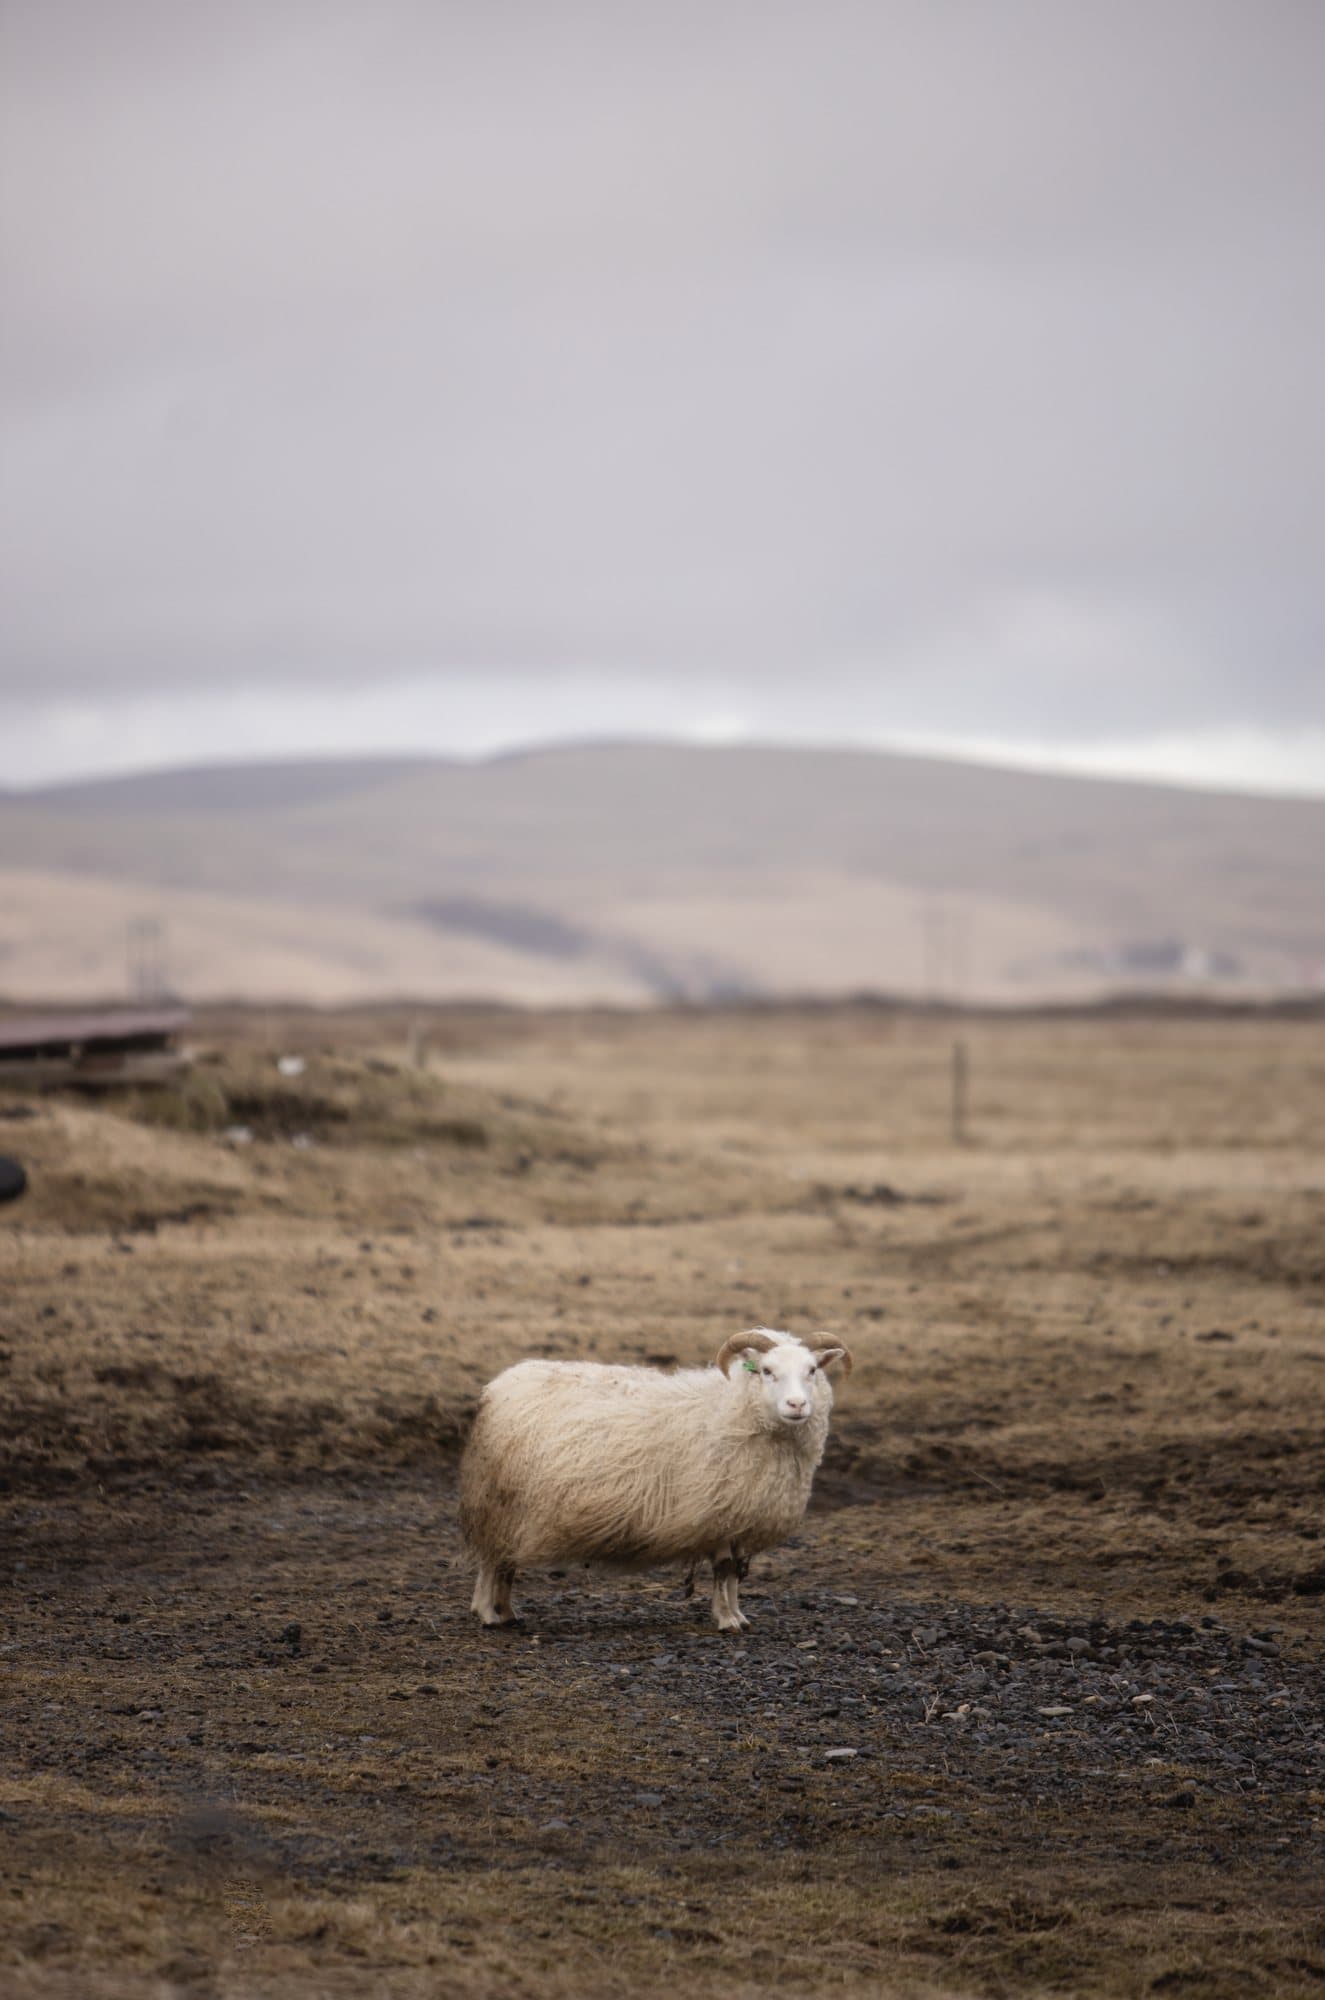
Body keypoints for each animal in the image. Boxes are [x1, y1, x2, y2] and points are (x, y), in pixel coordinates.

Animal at [459, 1327, 852, 1631]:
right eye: (767, 1371)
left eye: (812, 1370)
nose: (797, 1405)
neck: (731, 1409)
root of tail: (497, 1387)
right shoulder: (717, 1511)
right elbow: (724, 1569)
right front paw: (726, 1621)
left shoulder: (742, 1516)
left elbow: (734, 1576)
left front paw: (738, 1615)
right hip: (499, 1500)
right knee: (492, 1560)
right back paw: (487, 1613)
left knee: (504, 1563)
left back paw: (506, 1612)